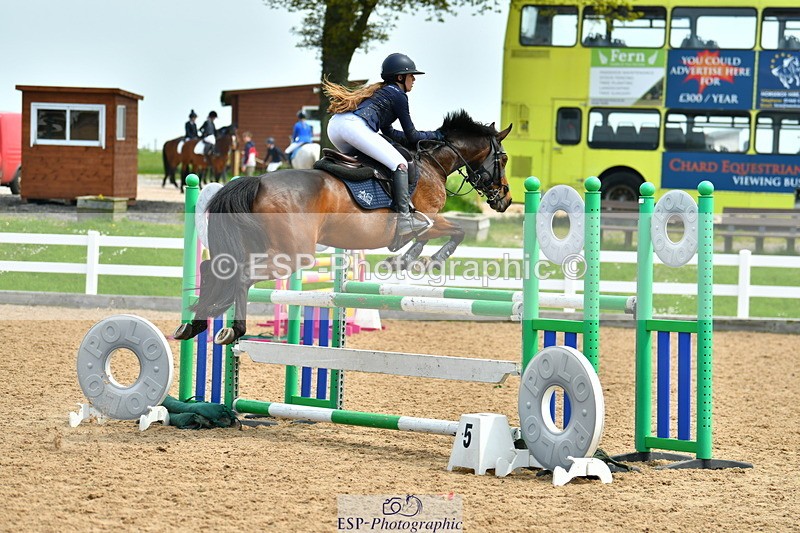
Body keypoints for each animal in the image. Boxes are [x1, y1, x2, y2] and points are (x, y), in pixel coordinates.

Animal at [174, 110, 512, 345]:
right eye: (504, 158)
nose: (505, 199)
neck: (432, 163)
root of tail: (257, 182)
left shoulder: (426, 222)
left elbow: (428, 238)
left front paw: (402, 261)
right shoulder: (427, 217)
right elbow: (455, 230)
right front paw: (429, 261)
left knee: (214, 268)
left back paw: (194, 325)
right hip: (294, 255)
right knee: (241, 276)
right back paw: (233, 330)